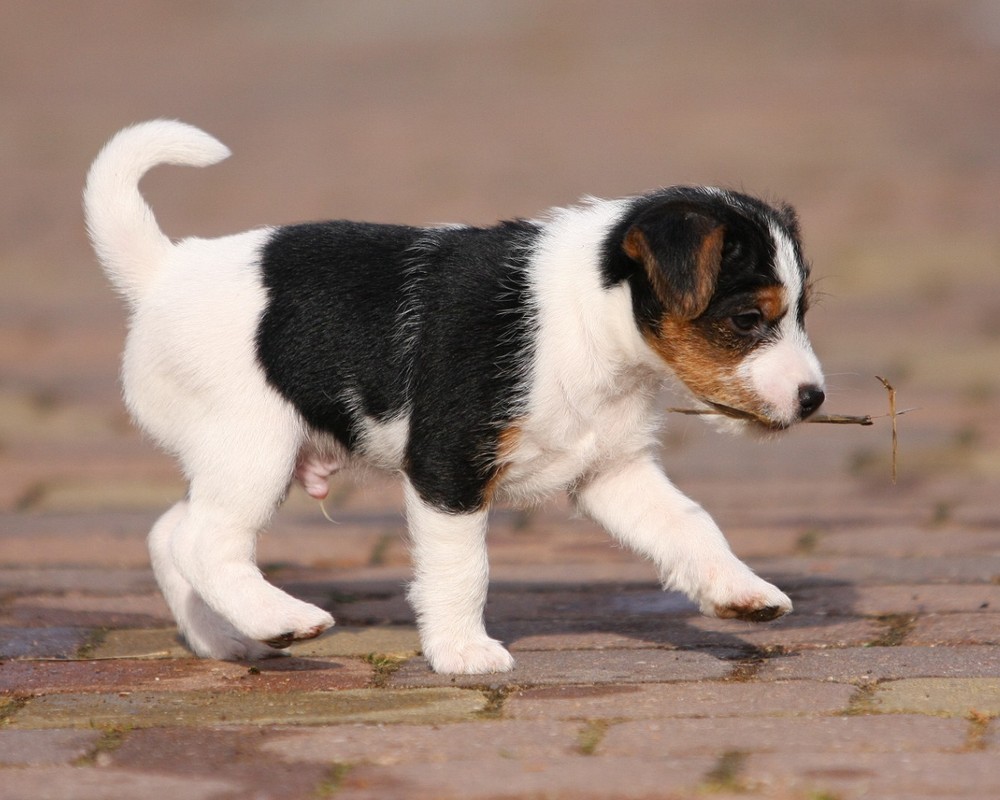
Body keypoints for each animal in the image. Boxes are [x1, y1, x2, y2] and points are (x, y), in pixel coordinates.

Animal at [86, 120, 824, 676]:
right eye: (748, 319)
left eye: (801, 313)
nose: (815, 398)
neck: (585, 319)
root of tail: (164, 271)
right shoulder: (449, 469)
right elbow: (463, 569)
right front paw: (463, 652)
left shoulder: (614, 472)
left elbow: (691, 525)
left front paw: (741, 593)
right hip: (254, 446)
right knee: (205, 541)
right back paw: (283, 620)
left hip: (239, 455)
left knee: (170, 535)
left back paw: (226, 640)